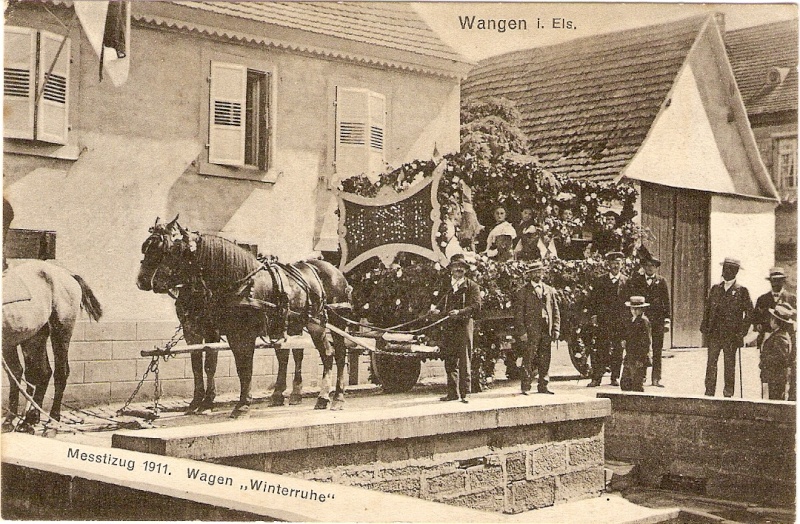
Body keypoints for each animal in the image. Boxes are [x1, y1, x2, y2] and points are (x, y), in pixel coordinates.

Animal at [2, 260, 102, 432]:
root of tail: (68, 274)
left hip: (61, 331)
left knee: (60, 373)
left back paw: (51, 419)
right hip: (33, 337)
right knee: (38, 372)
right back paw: (27, 419)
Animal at [138, 218, 354, 418]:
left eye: (174, 252)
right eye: (146, 248)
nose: (147, 281)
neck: (240, 284)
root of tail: (335, 271)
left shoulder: (237, 334)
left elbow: (237, 367)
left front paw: (238, 405)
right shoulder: (197, 332)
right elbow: (200, 366)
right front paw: (199, 403)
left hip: (323, 324)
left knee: (332, 354)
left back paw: (330, 397)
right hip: (294, 324)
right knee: (293, 355)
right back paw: (288, 395)